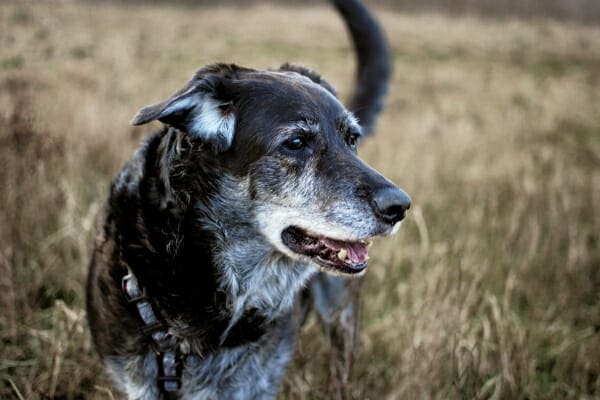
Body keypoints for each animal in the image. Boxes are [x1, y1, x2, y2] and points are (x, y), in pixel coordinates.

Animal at [86, 1, 410, 398]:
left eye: (351, 140)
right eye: (296, 142)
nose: (399, 206)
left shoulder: (255, 382)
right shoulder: (139, 382)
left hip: (342, 313)